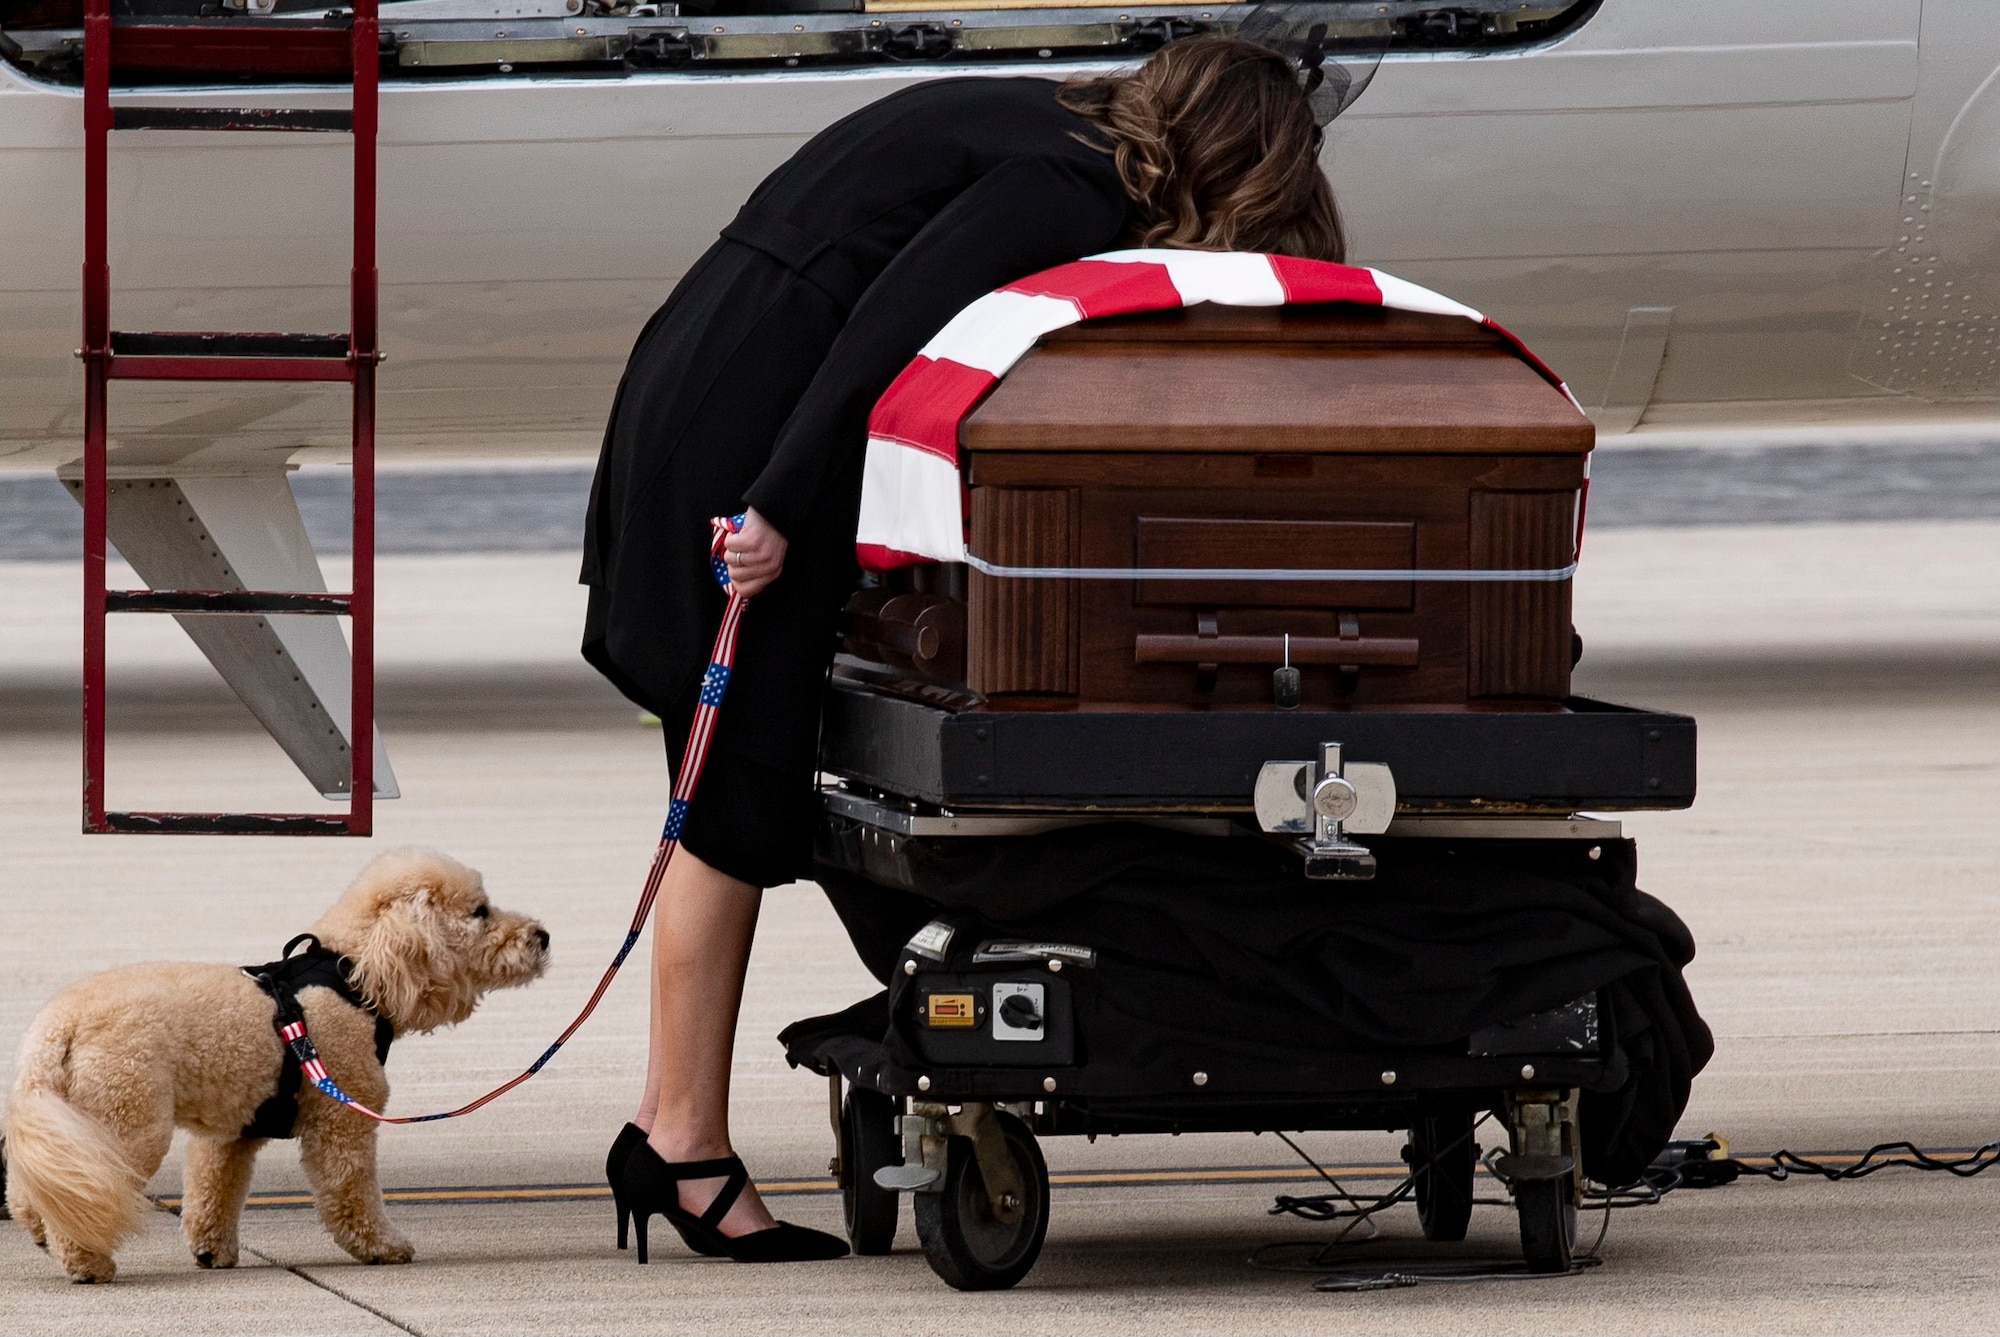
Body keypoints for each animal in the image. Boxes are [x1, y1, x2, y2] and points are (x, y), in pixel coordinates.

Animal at [1, 852, 548, 1280]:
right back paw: (86, 1264)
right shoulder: (342, 1122)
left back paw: (40, 1232)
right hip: (124, 1120)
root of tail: (55, 1027)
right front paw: (382, 1247)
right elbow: (351, 1190)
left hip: (68, 1120)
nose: (542, 936)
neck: (354, 975)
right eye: (480, 912)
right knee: (85, 1190)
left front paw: (212, 1251)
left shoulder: (231, 1133)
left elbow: (214, 1193)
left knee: (42, 1186)